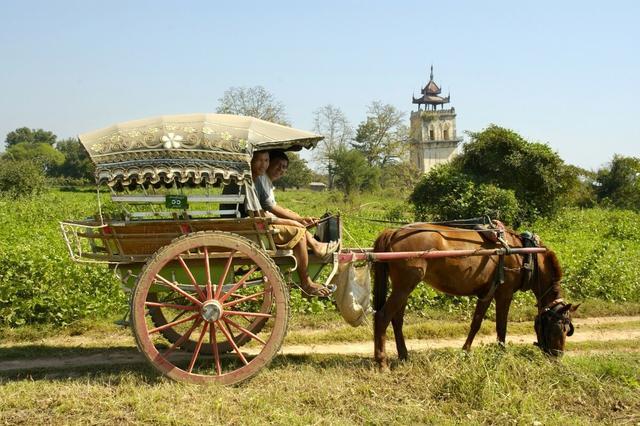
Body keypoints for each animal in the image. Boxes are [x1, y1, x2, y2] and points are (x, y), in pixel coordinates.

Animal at [372, 223, 576, 370]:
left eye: (568, 329)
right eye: (558, 327)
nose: (557, 357)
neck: (525, 255)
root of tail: (394, 232)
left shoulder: (487, 293)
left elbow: (476, 323)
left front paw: (465, 351)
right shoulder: (505, 293)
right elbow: (501, 325)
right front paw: (501, 353)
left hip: (404, 287)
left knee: (396, 320)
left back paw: (403, 355)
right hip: (405, 285)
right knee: (382, 317)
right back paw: (381, 362)